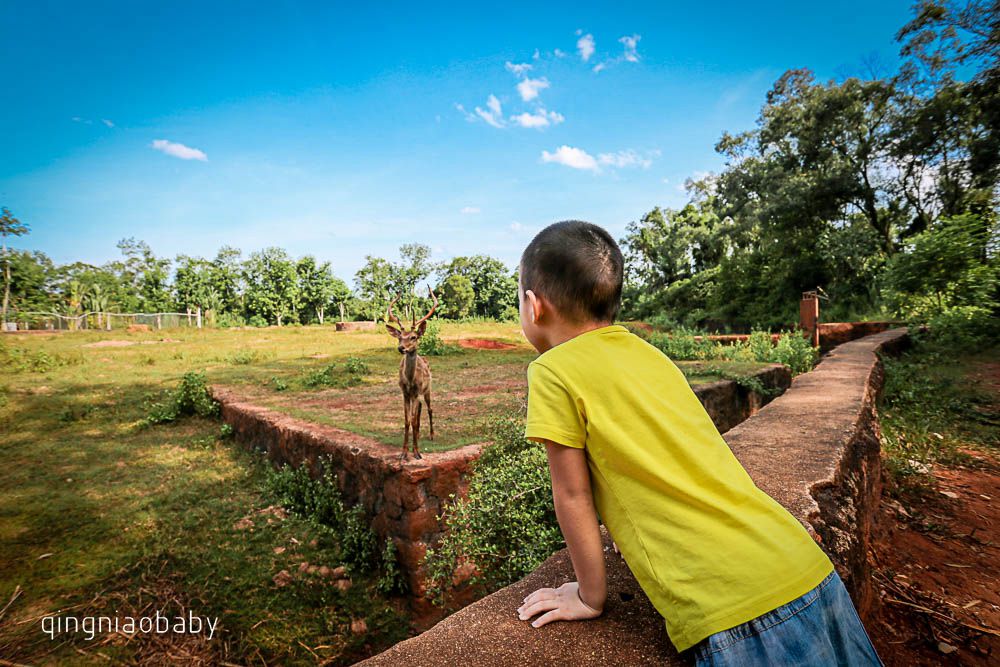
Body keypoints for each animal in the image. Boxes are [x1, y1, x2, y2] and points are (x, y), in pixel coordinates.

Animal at [382, 284, 438, 462]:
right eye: (399, 337)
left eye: (413, 337)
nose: (401, 348)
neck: (411, 381)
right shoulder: (405, 393)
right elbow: (407, 421)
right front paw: (404, 453)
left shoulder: (417, 392)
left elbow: (413, 421)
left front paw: (417, 453)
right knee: (418, 415)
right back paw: (418, 436)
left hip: (428, 390)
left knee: (429, 409)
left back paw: (431, 435)